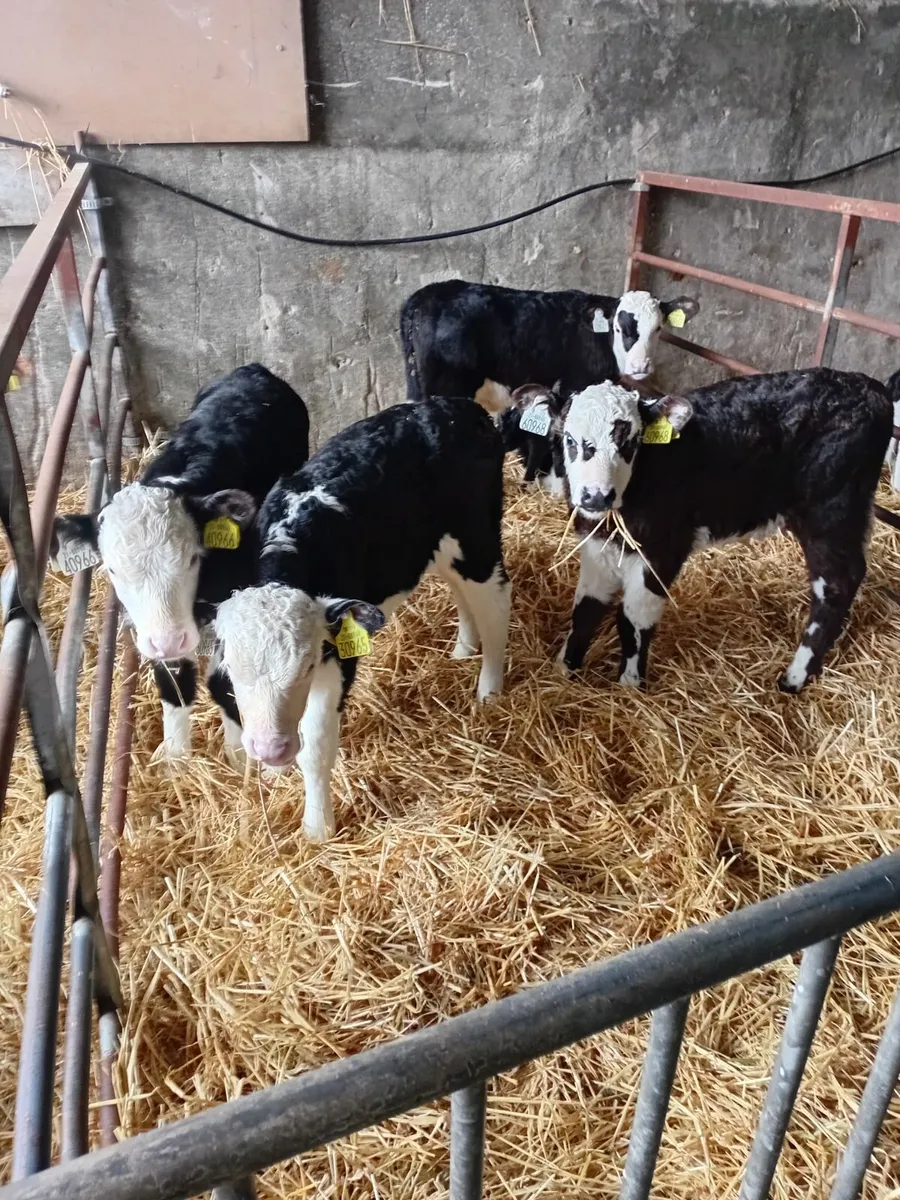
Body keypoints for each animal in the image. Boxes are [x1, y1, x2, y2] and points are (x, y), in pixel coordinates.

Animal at [52, 364, 310, 764]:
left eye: (192, 558)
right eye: (112, 570)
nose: (171, 639)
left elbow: (223, 682)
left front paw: (237, 756)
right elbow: (173, 684)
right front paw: (175, 758)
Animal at [213, 393, 510, 842]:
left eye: (305, 668)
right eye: (232, 668)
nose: (271, 748)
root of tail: (458, 406)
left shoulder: (337, 656)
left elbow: (316, 744)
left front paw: (318, 828)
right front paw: (272, 775)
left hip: (477, 538)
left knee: (495, 603)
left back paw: (489, 690)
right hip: (433, 546)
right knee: (462, 594)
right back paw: (463, 650)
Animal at [553, 369, 894, 693]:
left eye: (631, 442)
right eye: (569, 440)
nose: (596, 496)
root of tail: (871, 389)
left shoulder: (664, 551)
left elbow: (633, 619)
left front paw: (630, 684)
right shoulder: (595, 545)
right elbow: (585, 609)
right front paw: (565, 667)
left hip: (831, 510)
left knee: (835, 585)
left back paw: (795, 677)